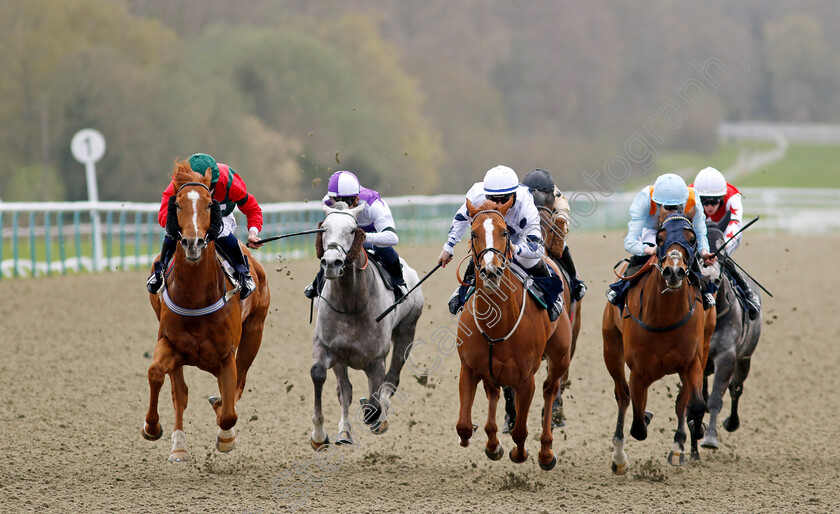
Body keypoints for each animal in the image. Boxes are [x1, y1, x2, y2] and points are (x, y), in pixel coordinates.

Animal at [142, 160, 270, 460]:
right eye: (177, 204)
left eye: (210, 204)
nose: (193, 242)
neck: (195, 297)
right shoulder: (168, 342)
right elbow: (156, 374)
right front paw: (152, 427)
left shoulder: (225, 355)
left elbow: (229, 412)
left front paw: (225, 436)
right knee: (180, 392)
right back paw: (178, 446)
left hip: (254, 334)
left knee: (239, 383)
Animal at [308, 200, 424, 448]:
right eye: (324, 229)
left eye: (353, 230)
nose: (331, 263)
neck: (351, 302)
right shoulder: (327, 347)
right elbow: (321, 376)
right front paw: (320, 435)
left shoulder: (376, 359)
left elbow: (375, 397)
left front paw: (376, 417)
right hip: (342, 359)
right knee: (345, 390)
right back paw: (344, 431)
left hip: (407, 330)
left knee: (392, 378)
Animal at [456, 196, 576, 468]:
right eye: (473, 233)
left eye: (504, 232)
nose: (491, 271)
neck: (496, 323)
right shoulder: (469, 368)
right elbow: (464, 426)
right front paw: (491, 444)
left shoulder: (525, 378)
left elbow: (521, 430)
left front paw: (520, 453)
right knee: (494, 393)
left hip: (560, 356)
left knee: (550, 390)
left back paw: (546, 451)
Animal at [604, 211, 716, 472]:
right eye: (660, 237)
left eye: (692, 239)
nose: (673, 272)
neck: (665, 316)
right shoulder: (638, 371)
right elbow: (637, 424)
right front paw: (644, 417)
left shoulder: (692, 362)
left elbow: (695, 405)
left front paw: (697, 430)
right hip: (611, 350)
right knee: (623, 396)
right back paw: (619, 458)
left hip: (705, 347)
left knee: (682, 401)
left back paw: (678, 448)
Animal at [700, 224, 764, 448]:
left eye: (723, 251)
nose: (709, 277)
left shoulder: (726, 356)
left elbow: (716, 397)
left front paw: (710, 438)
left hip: (745, 358)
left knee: (736, 388)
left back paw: (731, 422)